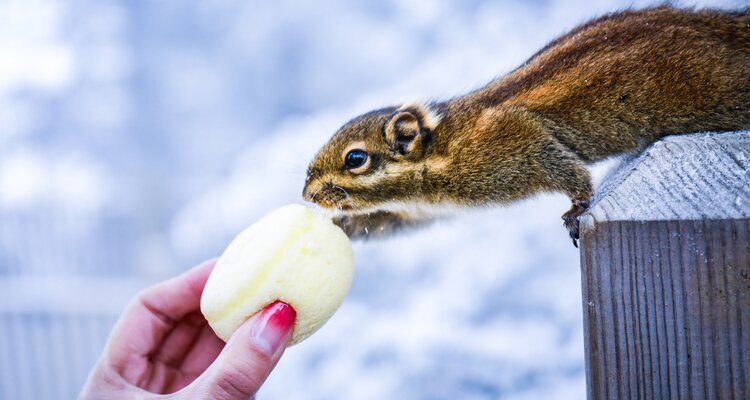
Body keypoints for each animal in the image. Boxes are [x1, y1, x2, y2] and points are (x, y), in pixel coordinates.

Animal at [302, 6, 750, 246]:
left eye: (355, 158)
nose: (307, 195)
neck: (440, 153)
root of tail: (721, 26)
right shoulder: (415, 210)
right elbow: (387, 221)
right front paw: (343, 226)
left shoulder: (518, 140)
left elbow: (562, 165)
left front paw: (576, 206)